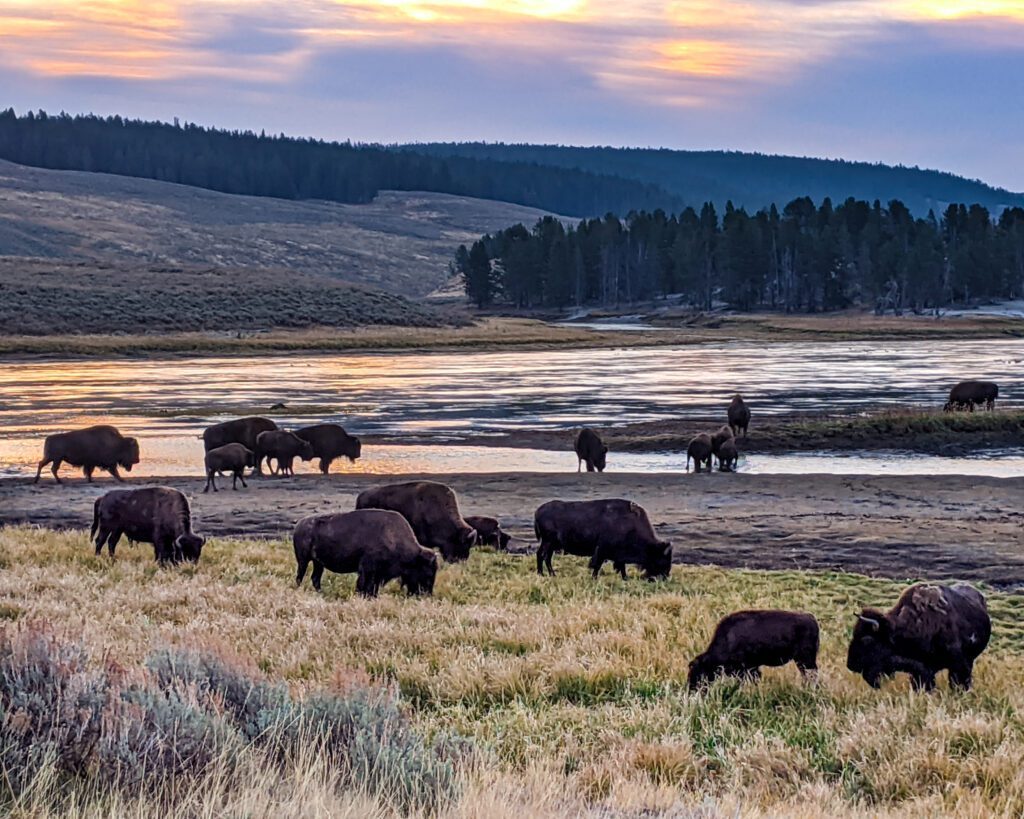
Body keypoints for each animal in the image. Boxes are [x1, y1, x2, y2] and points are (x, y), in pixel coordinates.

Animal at [293, 510, 438, 597]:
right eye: (428, 573)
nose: (426, 594)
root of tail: (300, 524)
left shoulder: (377, 574)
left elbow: (372, 587)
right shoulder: (368, 570)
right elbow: (364, 585)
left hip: (318, 563)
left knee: (315, 578)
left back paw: (321, 593)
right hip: (303, 560)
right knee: (300, 576)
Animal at [534, 498, 672, 580]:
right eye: (662, 559)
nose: (664, 577)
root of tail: (538, 511)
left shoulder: (617, 554)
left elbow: (621, 566)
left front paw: (625, 578)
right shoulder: (602, 550)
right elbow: (597, 564)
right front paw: (594, 578)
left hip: (551, 544)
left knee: (546, 557)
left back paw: (550, 574)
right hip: (548, 542)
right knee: (541, 555)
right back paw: (542, 574)